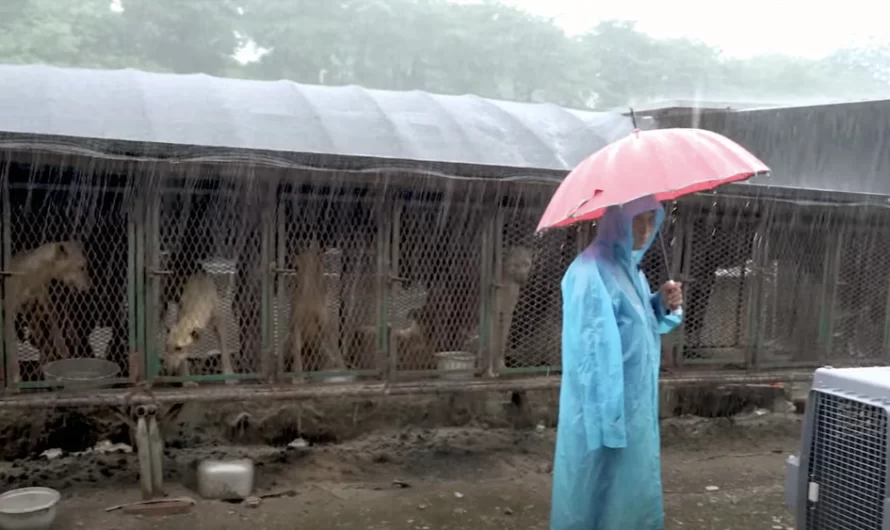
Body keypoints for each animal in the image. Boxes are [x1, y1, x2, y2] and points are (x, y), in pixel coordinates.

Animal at [2, 239, 91, 380]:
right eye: (82, 267)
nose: (90, 286)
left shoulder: (42, 298)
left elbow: (53, 317)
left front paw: (62, 347)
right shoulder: (10, 308)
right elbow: (11, 342)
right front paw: (15, 374)